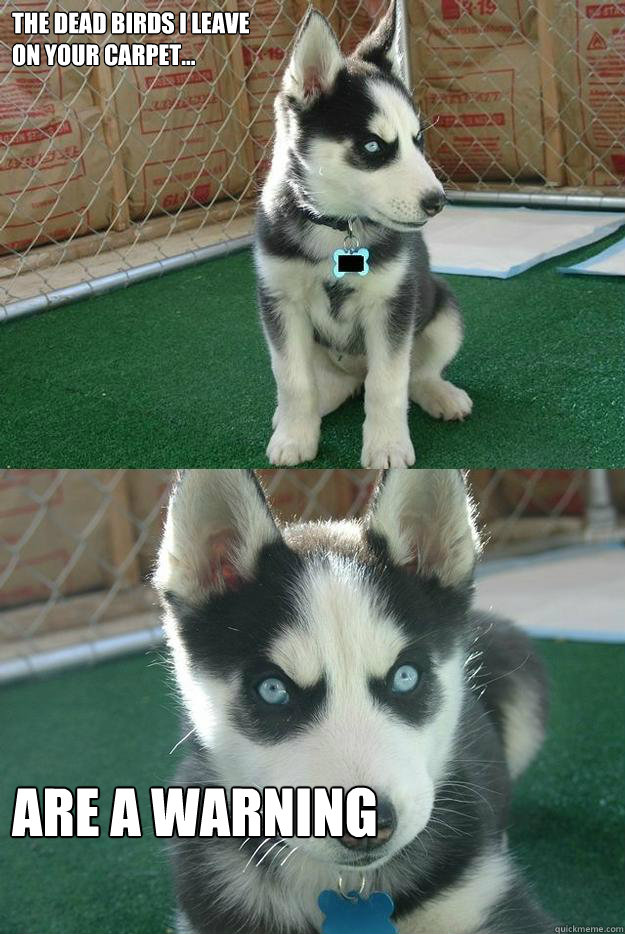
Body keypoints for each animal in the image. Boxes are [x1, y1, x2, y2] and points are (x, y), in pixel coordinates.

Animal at [256, 0, 470, 468]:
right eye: (373, 146)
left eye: (417, 140)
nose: (438, 201)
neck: (338, 226)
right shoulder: (280, 302)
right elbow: (292, 379)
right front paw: (294, 437)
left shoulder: (392, 305)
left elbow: (388, 383)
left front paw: (387, 445)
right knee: (327, 385)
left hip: (444, 311)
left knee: (414, 374)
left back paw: (440, 394)